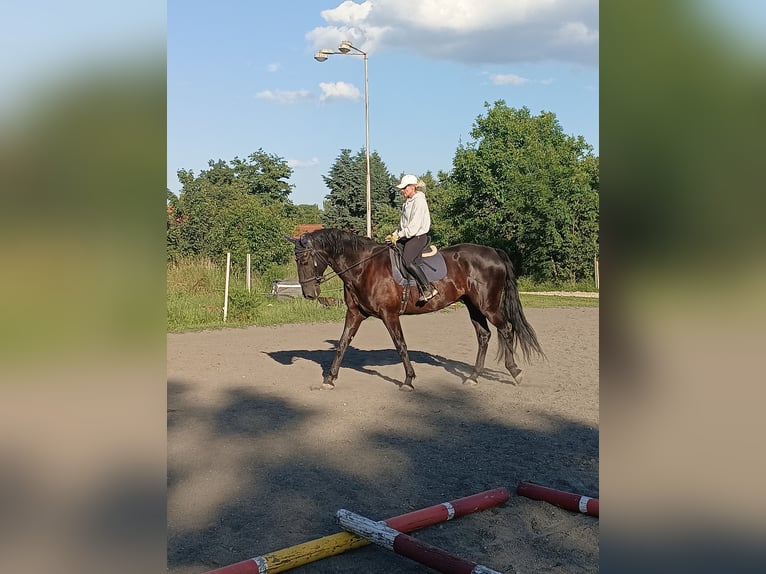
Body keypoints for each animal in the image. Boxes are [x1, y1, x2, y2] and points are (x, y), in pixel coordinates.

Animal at [288, 230, 544, 392]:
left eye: (305, 260)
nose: (309, 293)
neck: (363, 267)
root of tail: (493, 252)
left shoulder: (389, 315)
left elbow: (400, 345)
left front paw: (408, 380)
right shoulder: (355, 313)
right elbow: (342, 344)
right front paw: (329, 379)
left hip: (488, 305)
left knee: (506, 329)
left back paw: (515, 372)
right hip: (473, 305)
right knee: (484, 335)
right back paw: (473, 377)